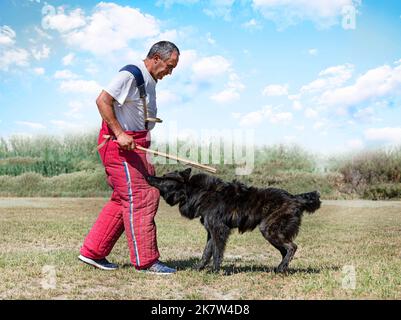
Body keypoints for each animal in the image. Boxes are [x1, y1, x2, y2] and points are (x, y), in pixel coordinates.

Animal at [145, 168, 320, 272]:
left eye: (163, 178)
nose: (147, 175)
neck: (198, 192)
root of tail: (294, 197)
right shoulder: (211, 232)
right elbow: (206, 252)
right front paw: (199, 268)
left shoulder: (219, 230)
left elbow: (217, 253)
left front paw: (214, 271)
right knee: (285, 250)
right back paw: (280, 269)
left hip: (269, 230)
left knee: (292, 247)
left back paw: (281, 268)